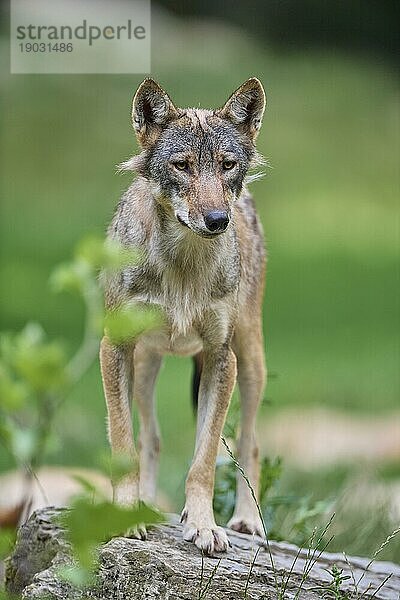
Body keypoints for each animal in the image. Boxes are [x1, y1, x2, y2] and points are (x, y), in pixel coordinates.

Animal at [100, 77, 268, 556]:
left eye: (227, 165)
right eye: (182, 166)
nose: (217, 219)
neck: (184, 268)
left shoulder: (221, 358)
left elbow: (204, 459)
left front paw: (205, 526)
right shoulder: (114, 348)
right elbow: (125, 443)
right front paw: (127, 516)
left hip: (251, 364)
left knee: (249, 443)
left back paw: (247, 521)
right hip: (144, 366)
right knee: (151, 438)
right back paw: (146, 503)